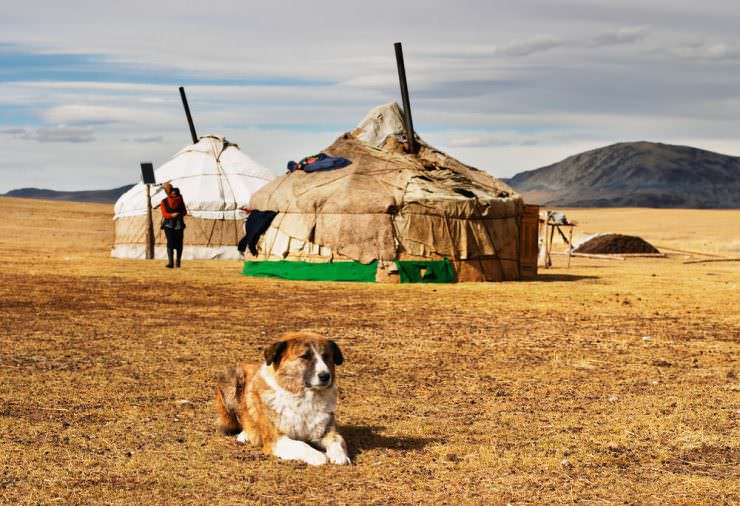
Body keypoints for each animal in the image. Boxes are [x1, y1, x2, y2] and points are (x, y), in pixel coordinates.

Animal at [215, 332, 352, 466]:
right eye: (305, 356)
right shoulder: (276, 439)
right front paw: (318, 455)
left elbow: (338, 440)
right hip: (234, 379)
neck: (302, 398)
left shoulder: (326, 431)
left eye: (326, 356)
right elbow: (301, 444)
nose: (325, 376)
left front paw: (339, 456)